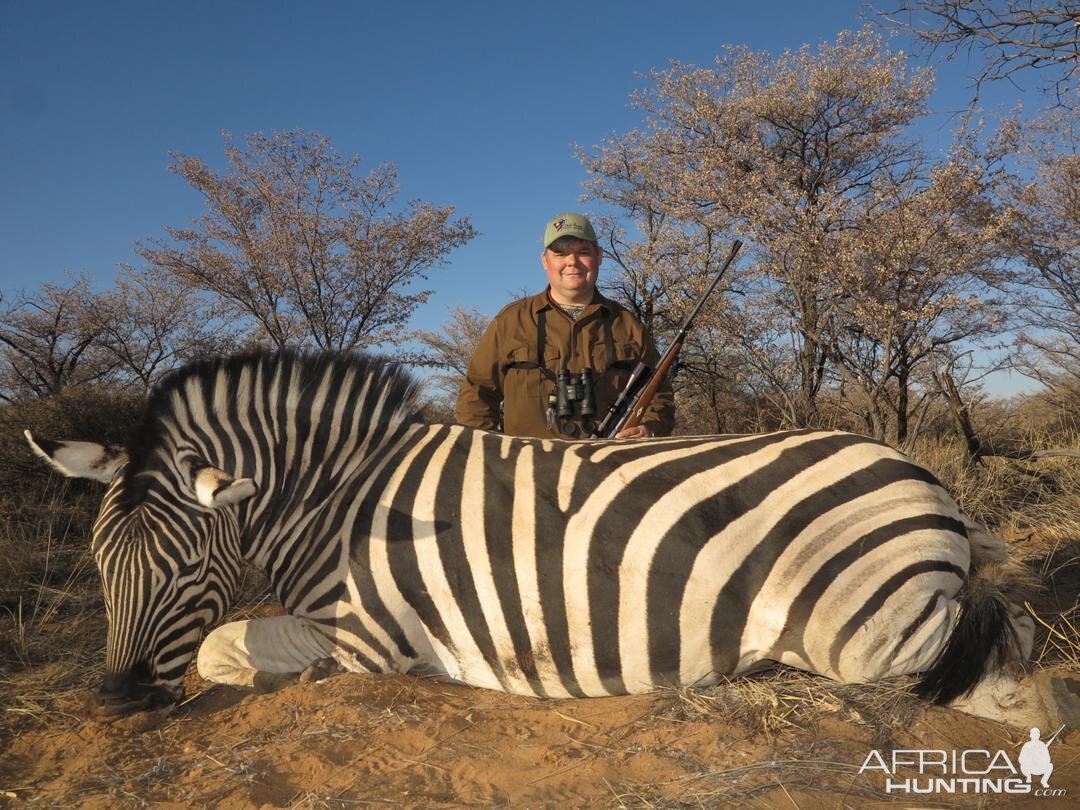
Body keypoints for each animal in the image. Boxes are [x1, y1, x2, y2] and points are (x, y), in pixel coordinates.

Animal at [25, 349, 1080, 730]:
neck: (339, 499)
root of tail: (929, 482)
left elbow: (224, 643)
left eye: (186, 569)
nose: (117, 701)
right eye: (100, 569)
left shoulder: (367, 640)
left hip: (868, 638)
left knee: (1018, 685)